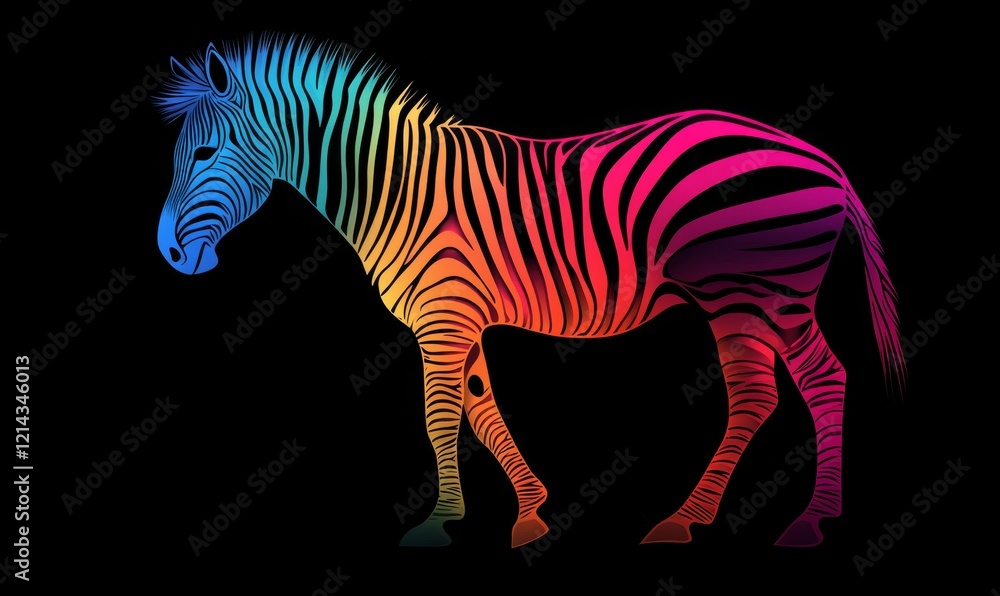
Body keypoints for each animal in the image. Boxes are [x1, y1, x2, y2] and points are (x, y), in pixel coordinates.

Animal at [155, 34, 905, 549]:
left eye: (204, 153)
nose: (168, 254)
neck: (397, 192)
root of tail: (817, 155)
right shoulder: (457, 317)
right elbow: (481, 408)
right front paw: (530, 510)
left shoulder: (444, 315)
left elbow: (439, 415)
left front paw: (439, 522)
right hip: (774, 294)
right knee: (813, 380)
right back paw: (808, 515)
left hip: (744, 290)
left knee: (769, 392)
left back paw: (704, 519)